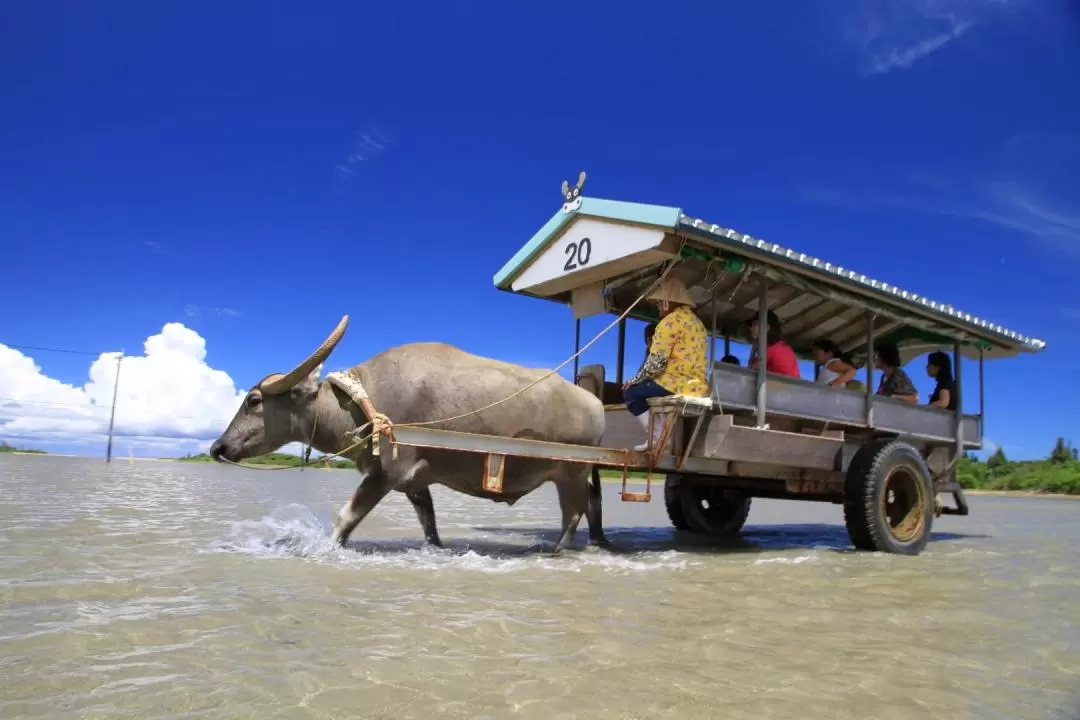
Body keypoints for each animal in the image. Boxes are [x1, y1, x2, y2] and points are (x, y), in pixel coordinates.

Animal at [206, 315, 609, 552]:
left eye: (254, 401)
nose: (217, 446)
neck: (362, 405)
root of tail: (594, 403)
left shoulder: (385, 474)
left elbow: (345, 519)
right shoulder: (415, 483)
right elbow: (429, 525)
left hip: (570, 472)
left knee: (573, 513)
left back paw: (557, 549)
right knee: (592, 505)